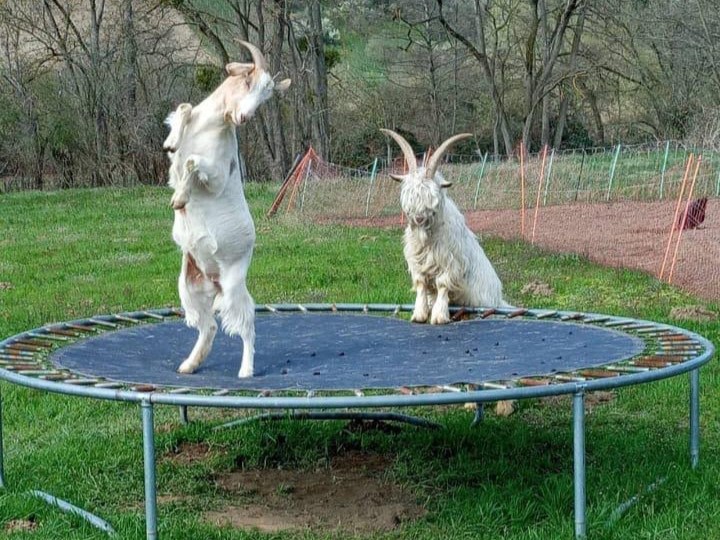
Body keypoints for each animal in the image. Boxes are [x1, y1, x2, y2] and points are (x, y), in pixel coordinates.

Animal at [163, 42, 290, 378]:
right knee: (208, 325)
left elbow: (194, 162)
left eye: (267, 96)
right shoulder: (176, 156)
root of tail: (215, 282)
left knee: (246, 325)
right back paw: (189, 364)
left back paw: (246, 370)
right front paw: (171, 140)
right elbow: (183, 109)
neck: (211, 125)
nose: (244, 117)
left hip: (234, 286)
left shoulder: (219, 173)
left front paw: (180, 198)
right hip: (189, 285)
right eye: (247, 82)